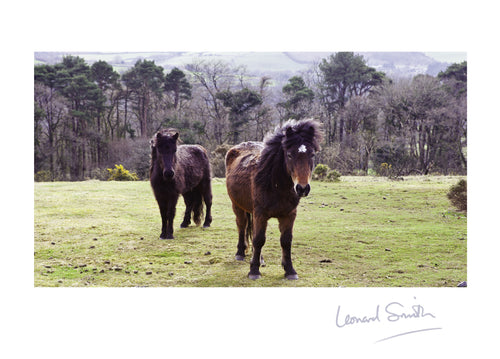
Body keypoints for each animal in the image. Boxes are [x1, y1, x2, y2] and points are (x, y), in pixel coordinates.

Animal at [225, 119, 322, 280]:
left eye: (312, 154)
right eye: (289, 155)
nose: (302, 188)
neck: (276, 185)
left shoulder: (289, 215)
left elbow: (286, 241)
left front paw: (290, 270)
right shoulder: (260, 214)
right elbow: (259, 240)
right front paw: (254, 271)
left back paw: (260, 259)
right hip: (237, 206)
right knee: (241, 225)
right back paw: (240, 253)